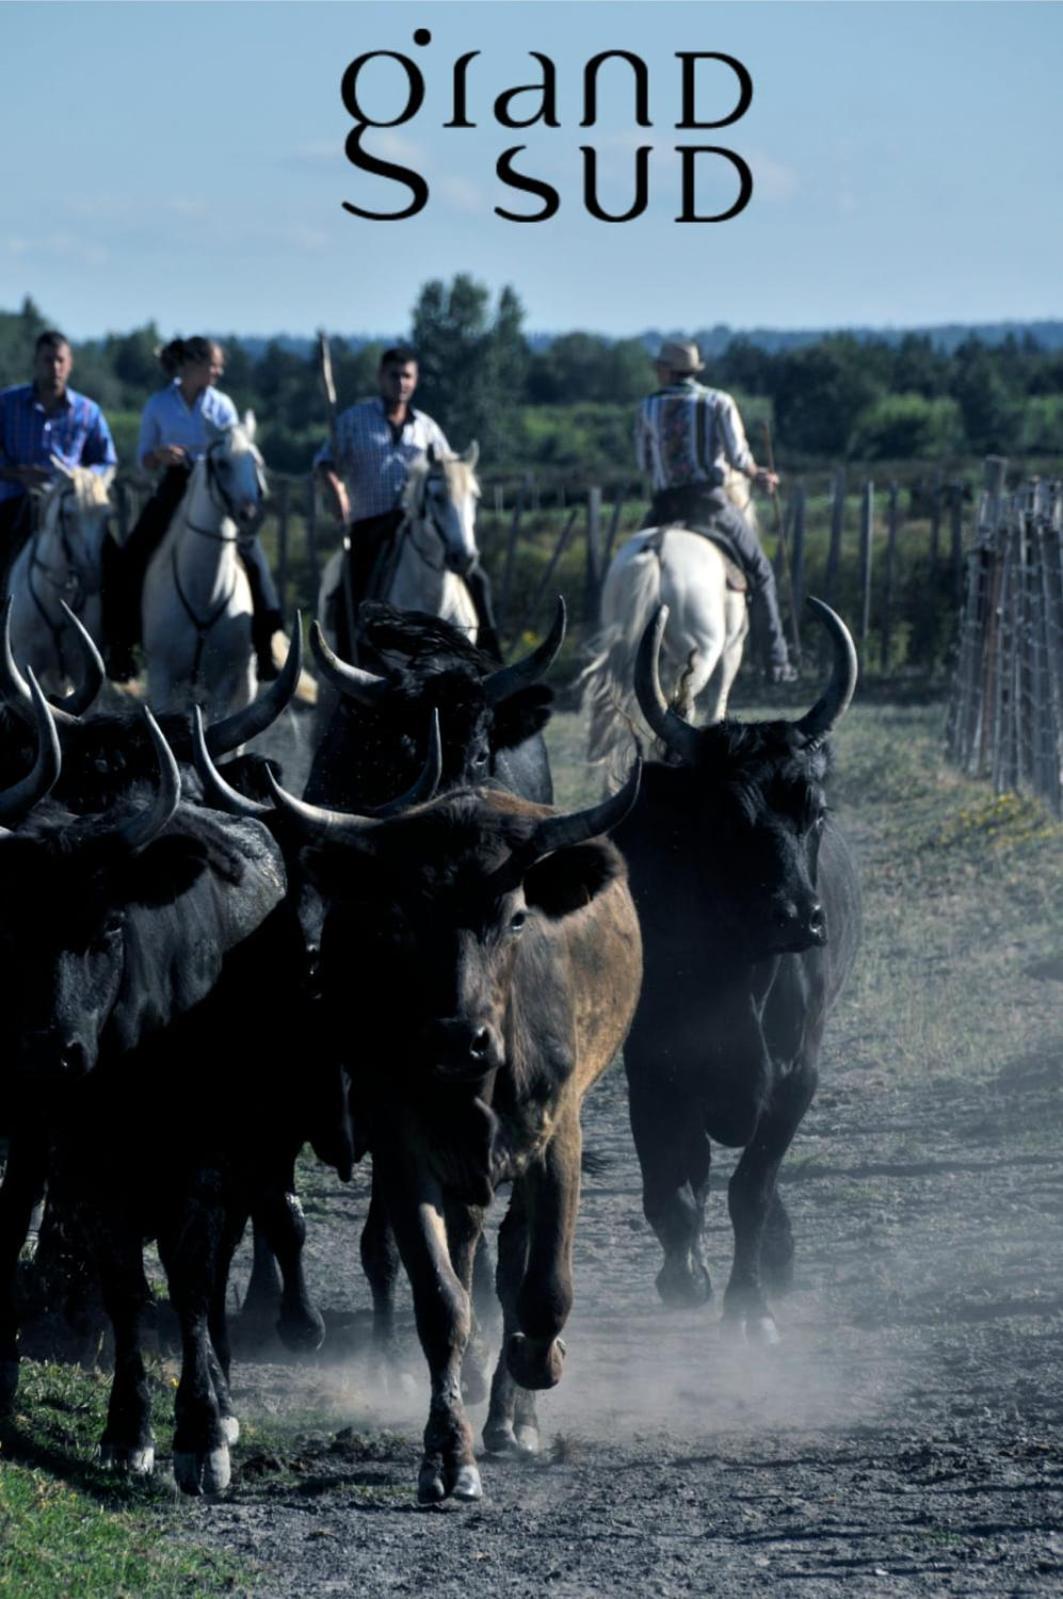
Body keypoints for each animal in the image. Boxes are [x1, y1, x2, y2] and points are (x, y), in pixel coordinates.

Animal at [142, 412, 266, 713]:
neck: (204, 595)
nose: (250, 515)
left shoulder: (222, 683)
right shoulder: (161, 678)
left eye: (256, 461)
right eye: (221, 463)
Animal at [613, 601, 863, 1336]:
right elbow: (672, 1185)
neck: (737, 975)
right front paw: (685, 1276)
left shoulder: (797, 1076)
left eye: (814, 809)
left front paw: (749, 1304)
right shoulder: (654, 1070)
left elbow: (750, 1187)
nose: (799, 917)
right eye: (727, 816)